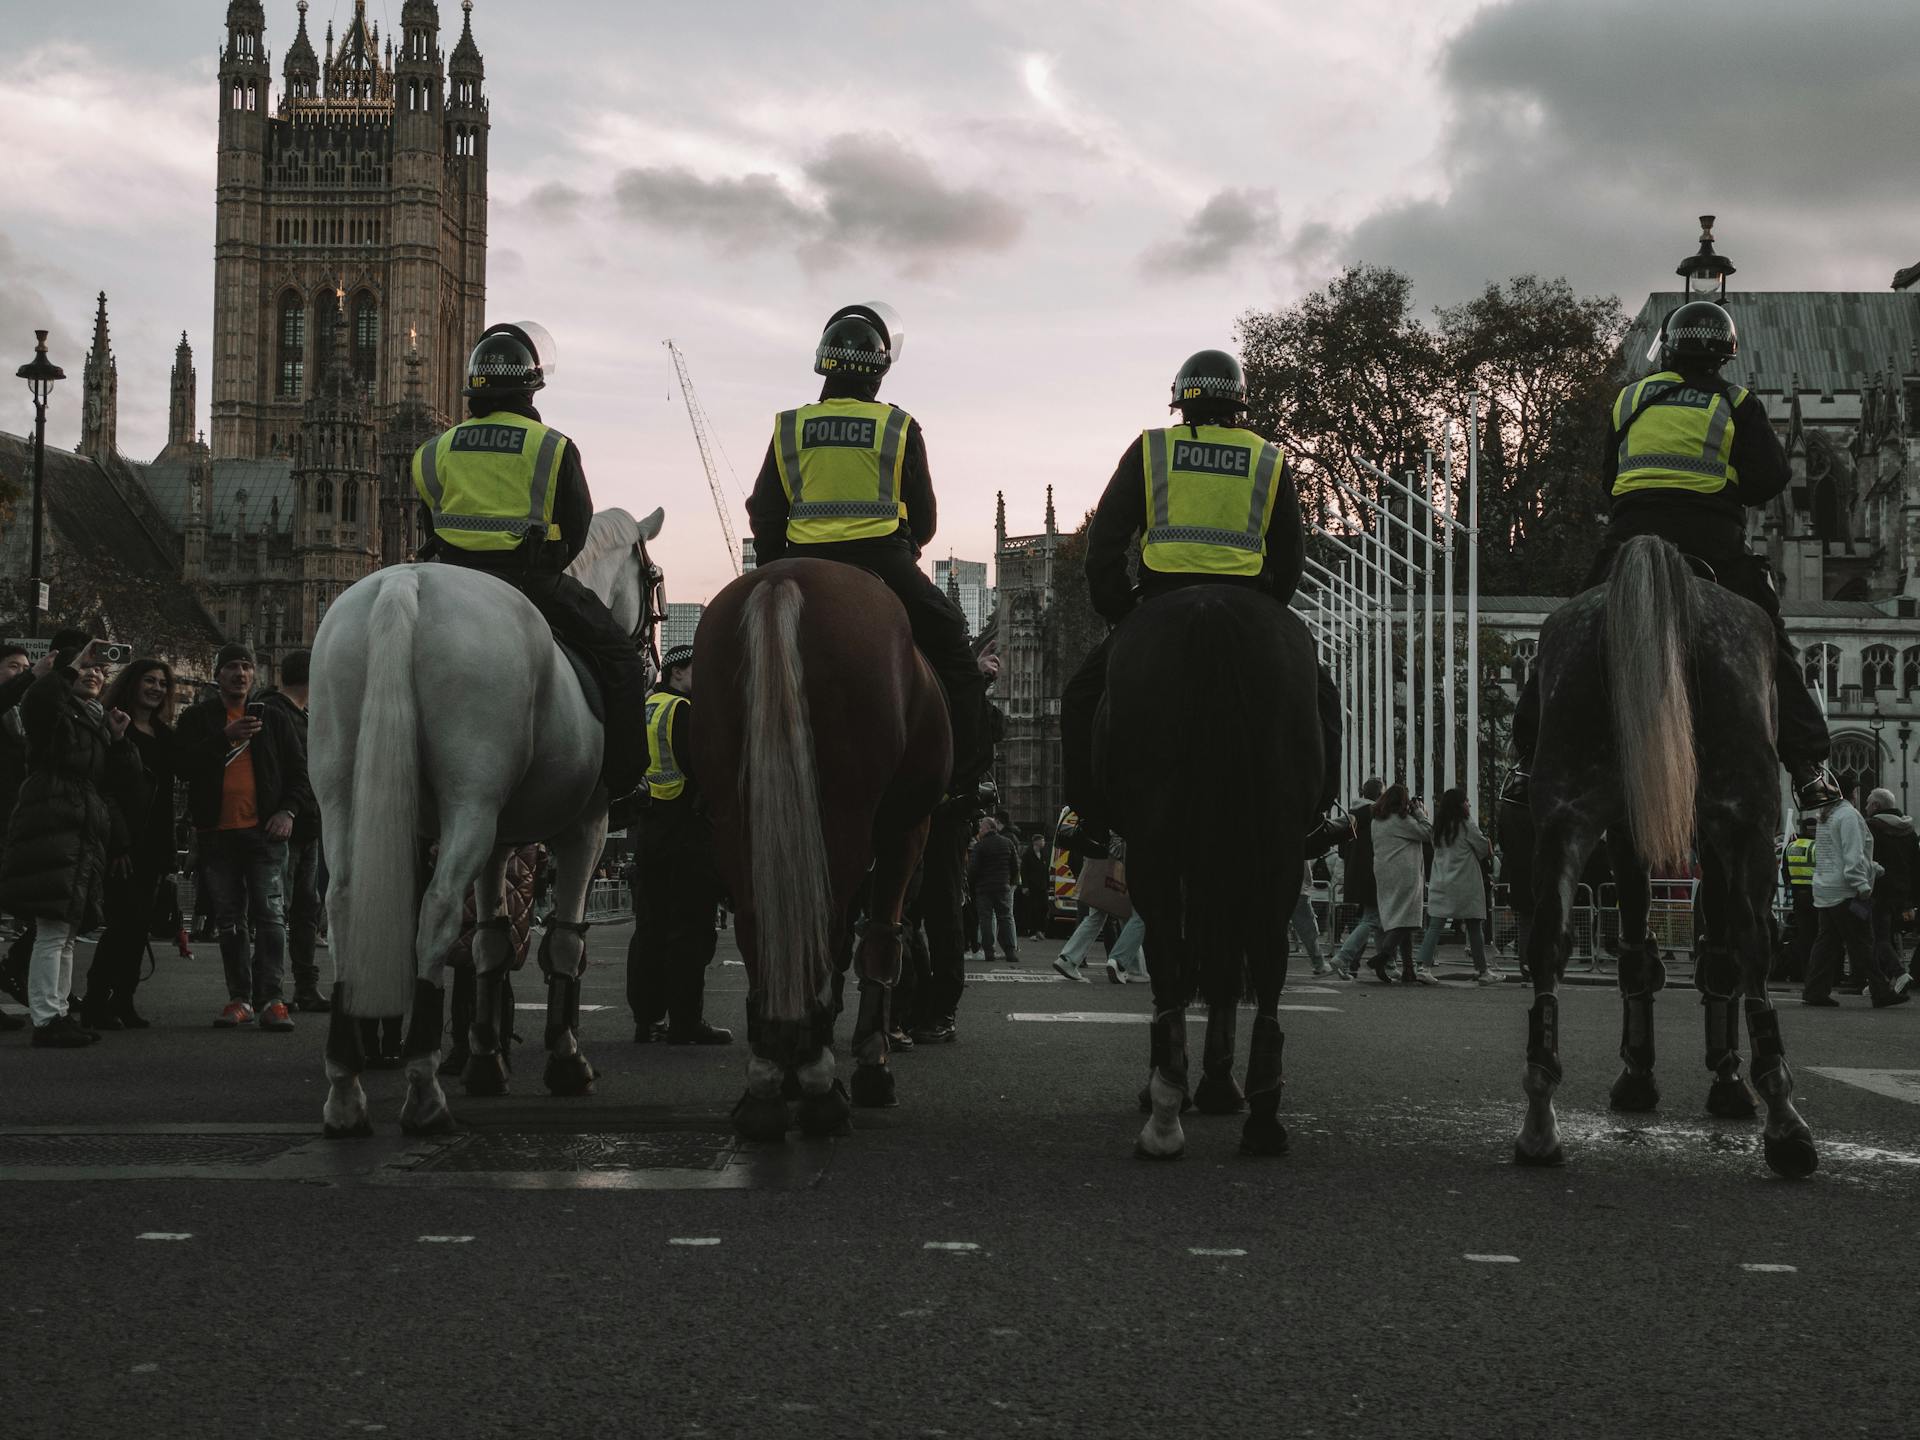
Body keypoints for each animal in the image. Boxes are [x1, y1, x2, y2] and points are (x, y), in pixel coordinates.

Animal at [311, 506, 664, 1136]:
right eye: (653, 581)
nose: (651, 657)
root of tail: (404, 585)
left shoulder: (501, 838)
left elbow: (491, 942)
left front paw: (484, 1060)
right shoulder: (588, 825)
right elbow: (564, 940)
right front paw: (566, 1058)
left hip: (344, 796)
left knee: (345, 906)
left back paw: (346, 1088)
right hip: (469, 805)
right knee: (436, 911)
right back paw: (424, 1088)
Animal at [698, 556, 952, 1144]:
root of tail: (781, 580)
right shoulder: (908, 827)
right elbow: (880, 939)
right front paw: (872, 1066)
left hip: (735, 808)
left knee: (763, 921)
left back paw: (770, 1078)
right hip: (846, 806)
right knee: (831, 921)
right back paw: (818, 1089)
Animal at [1098, 587, 1320, 1159]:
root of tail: (1211, 609)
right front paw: (1217, 1083)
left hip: (1158, 842)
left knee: (1169, 951)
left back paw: (1165, 1111)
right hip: (1274, 837)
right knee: (1264, 952)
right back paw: (1262, 1114)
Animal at [1512, 537, 1812, 1175]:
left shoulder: (1631, 831)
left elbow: (1637, 948)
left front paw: (1639, 1073)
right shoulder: (1716, 834)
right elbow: (1718, 950)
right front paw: (1723, 1079)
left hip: (1566, 810)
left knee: (1549, 940)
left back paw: (1540, 1121)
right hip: (1746, 815)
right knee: (1753, 942)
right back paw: (1783, 1118)